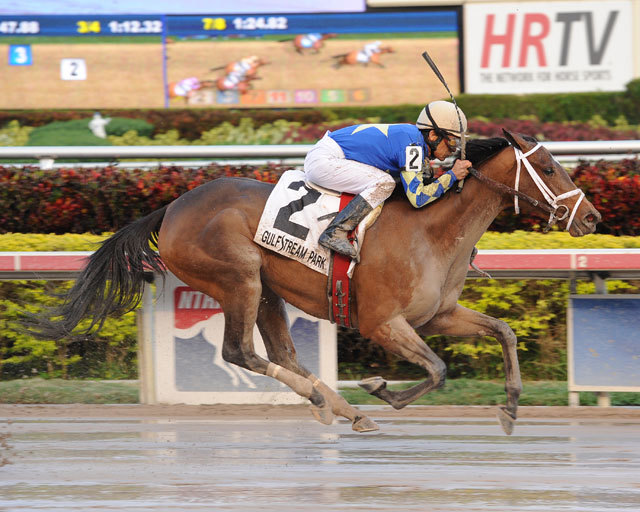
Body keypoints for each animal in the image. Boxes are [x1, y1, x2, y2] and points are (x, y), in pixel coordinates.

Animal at [30, 130, 600, 434]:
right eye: (549, 167)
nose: (591, 218)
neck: (431, 230)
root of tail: (171, 208)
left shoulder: (437, 315)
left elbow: (504, 332)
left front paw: (510, 406)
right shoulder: (382, 322)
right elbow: (438, 370)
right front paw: (380, 388)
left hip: (266, 290)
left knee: (283, 354)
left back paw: (340, 407)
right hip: (237, 279)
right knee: (240, 352)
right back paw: (334, 403)